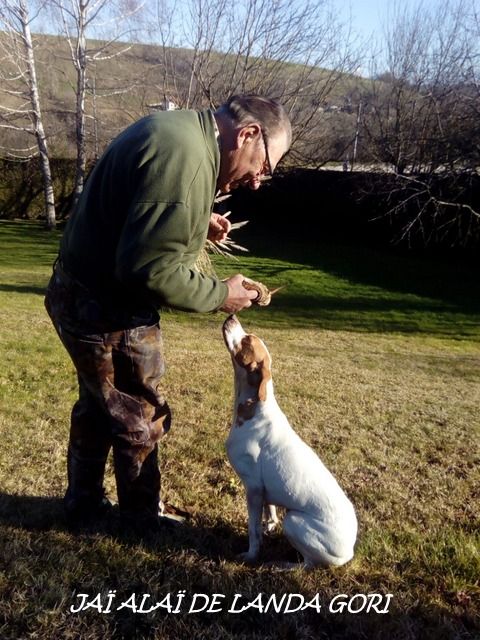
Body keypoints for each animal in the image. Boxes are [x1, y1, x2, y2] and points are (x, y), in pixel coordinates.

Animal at [223, 312, 358, 568]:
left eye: (247, 341)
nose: (232, 316)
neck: (255, 407)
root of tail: (349, 552)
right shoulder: (264, 491)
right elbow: (270, 512)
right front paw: (269, 525)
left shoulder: (253, 489)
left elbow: (253, 532)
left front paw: (251, 555)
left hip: (294, 521)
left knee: (308, 564)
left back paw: (281, 566)